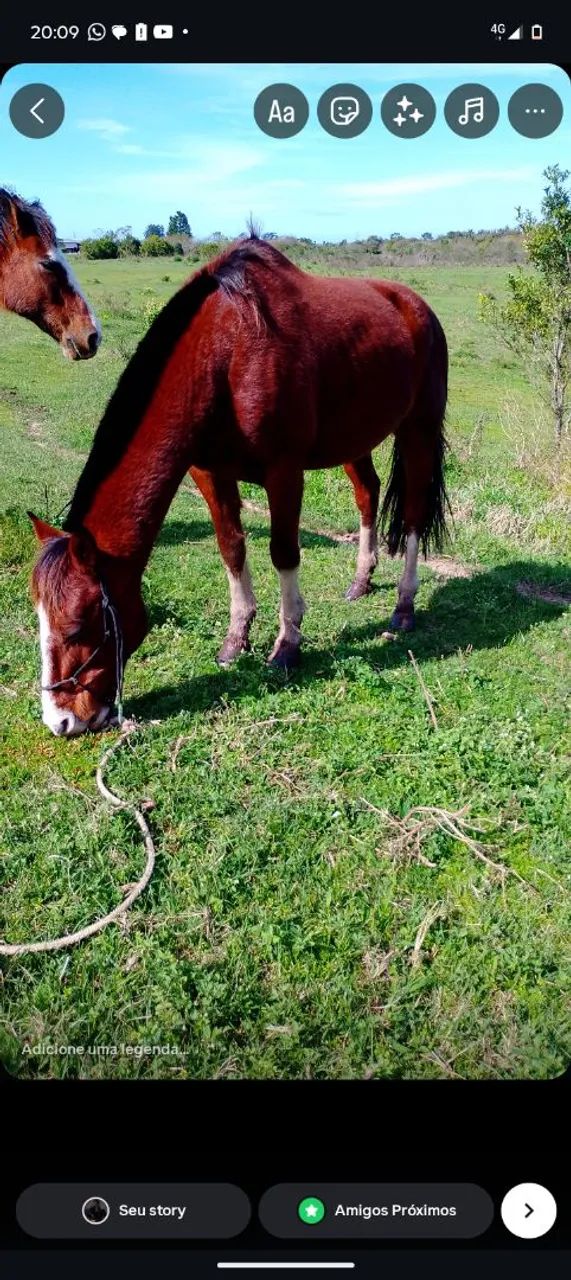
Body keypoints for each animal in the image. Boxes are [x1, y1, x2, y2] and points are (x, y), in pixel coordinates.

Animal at [29, 234, 448, 737]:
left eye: (77, 627)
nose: (60, 720)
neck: (226, 352)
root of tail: (416, 305)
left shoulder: (284, 472)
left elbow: (283, 553)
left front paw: (287, 646)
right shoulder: (209, 472)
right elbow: (231, 547)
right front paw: (236, 639)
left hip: (418, 429)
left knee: (413, 513)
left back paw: (404, 606)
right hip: (355, 440)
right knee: (367, 493)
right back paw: (361, 581)